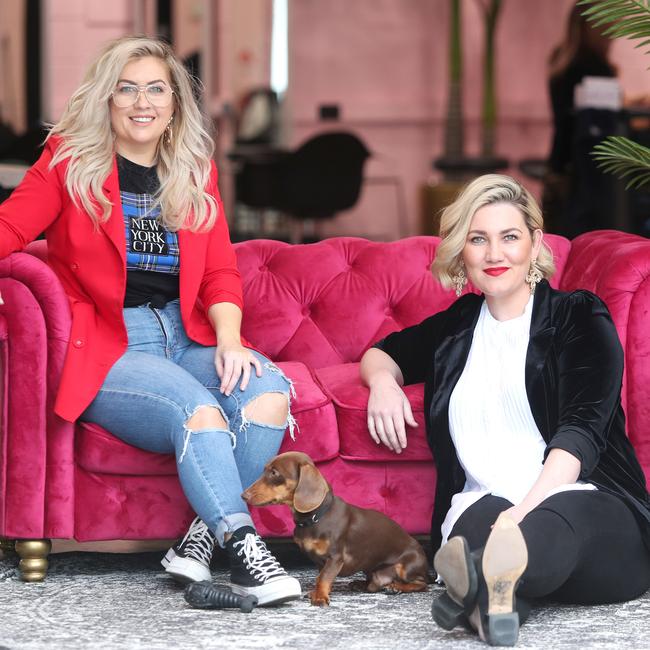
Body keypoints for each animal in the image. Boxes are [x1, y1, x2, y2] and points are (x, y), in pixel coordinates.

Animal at [240, 448, 428, 604]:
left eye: (274, 472)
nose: (243, 495)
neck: (316, 517)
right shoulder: (320, 560)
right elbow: (321, 576)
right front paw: (316, 592)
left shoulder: (335, 557)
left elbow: (323, 577)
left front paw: (320, 597)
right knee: (373, 585)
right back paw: (360, 584)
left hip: (405, 567)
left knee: (422, 584)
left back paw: (397, 587)